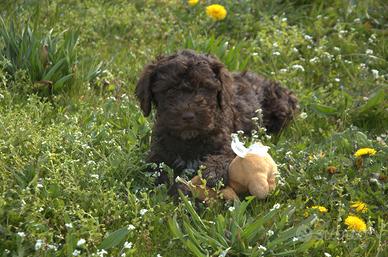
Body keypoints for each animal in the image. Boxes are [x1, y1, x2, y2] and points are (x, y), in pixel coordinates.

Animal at [136, 49, 298, 194]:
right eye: (169, 90)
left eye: (203, 87)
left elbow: (222, 157)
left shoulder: (228, 144)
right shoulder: (158, 152)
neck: (190, 139)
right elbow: (159, 170)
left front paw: (212, 174)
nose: (188, 116)